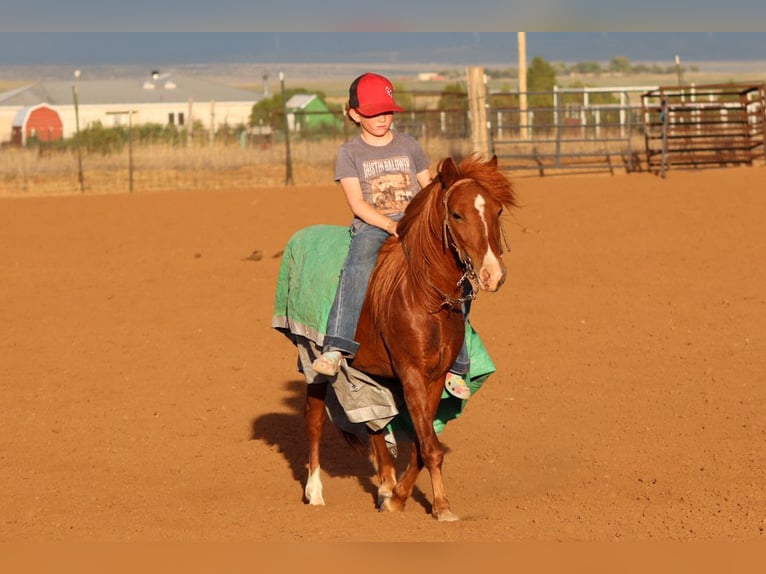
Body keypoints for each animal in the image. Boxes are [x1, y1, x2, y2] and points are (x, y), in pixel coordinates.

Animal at [278, 154, 517, 522]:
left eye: (498, 210)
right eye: (457, 214)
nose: (492, 275)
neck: (422, 294)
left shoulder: (432, 378)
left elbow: (421, 443)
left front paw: (397, 498)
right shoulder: (412, 374)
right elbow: (429, 447)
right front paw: (442, 507)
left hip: (370, 371)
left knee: (374, 422)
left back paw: (385, 485)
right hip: (311, 357)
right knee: (315, 420)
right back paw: (315, 493)